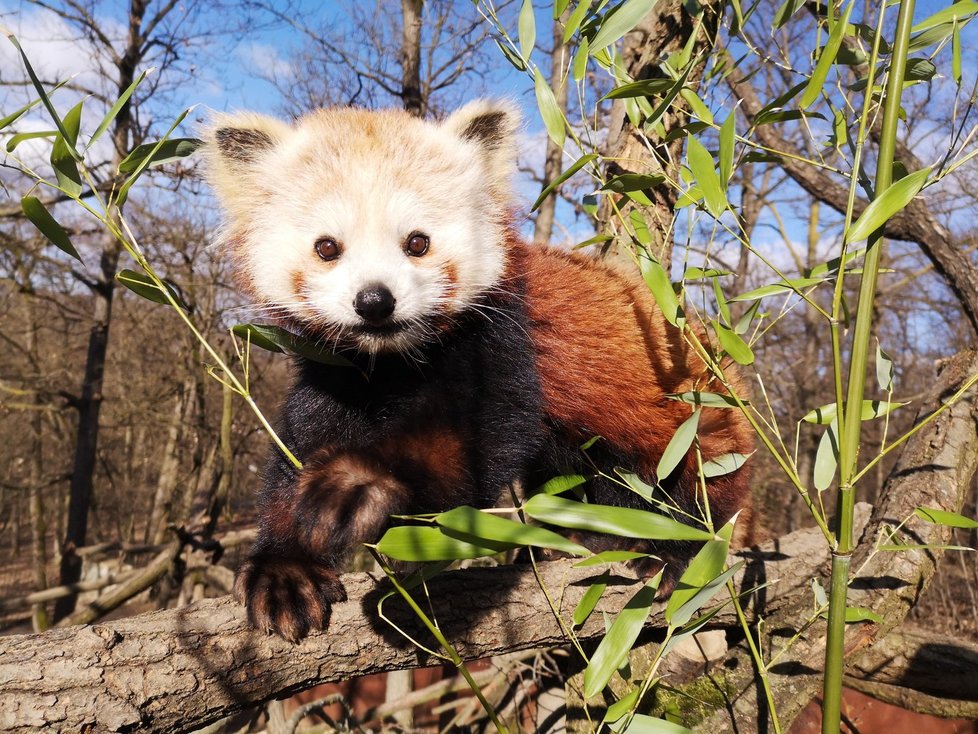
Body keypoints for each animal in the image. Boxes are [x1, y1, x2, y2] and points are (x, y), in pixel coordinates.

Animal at [202, 100, 752, 640]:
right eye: (327, 247)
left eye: (417, 242)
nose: (375, 301)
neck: (392, 362)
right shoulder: (336, 372)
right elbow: (299, 447)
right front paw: (286, 565)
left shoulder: (502, 341)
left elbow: (466, 445)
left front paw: (359, 484)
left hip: (696, 425)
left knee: (692, 487)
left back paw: (672, 552)